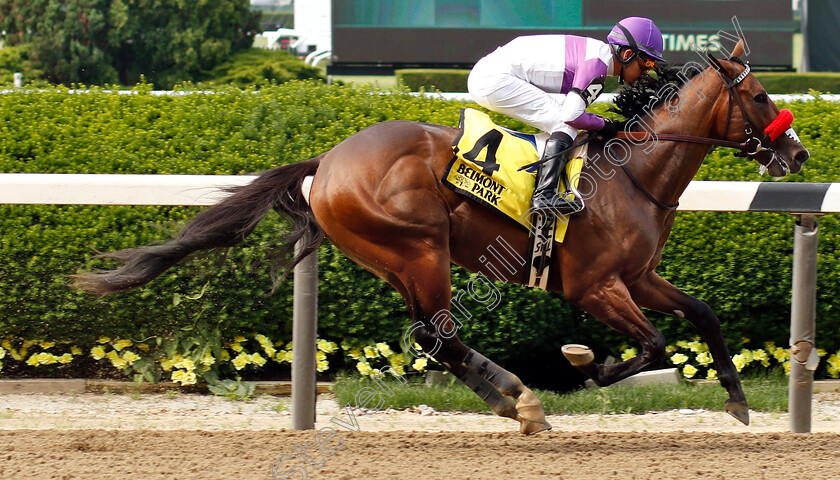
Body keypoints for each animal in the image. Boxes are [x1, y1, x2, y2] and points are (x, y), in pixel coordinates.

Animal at [77, 49, 808, 436]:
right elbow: (652, 343)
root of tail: (327, 161)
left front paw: (738, 400)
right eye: (760, 94)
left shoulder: (638, 278)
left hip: (398, 257)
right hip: (419, 247)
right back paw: (521, 396)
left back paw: (512, 398)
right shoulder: (595, 286)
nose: (797, 152)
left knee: (436, 337)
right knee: (439, 334)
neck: (631, 173)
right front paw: (582, 365)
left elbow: (703, 315)